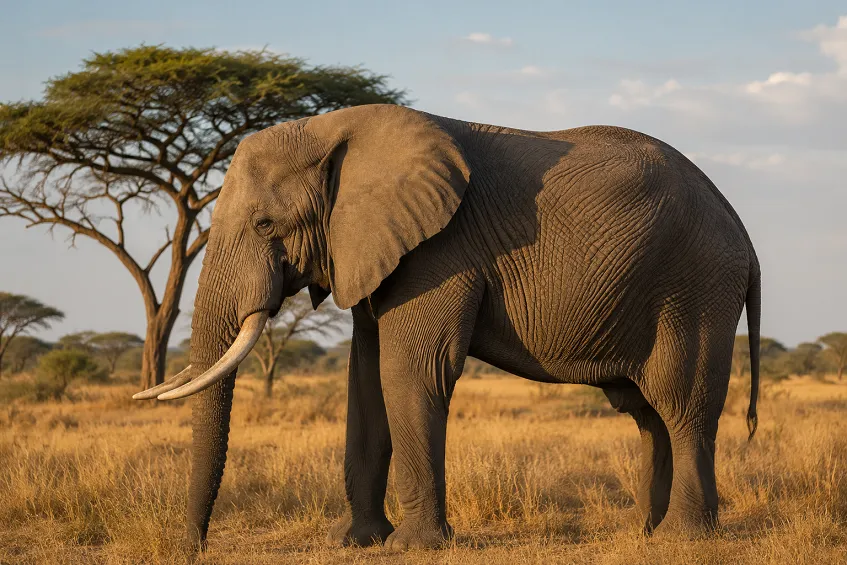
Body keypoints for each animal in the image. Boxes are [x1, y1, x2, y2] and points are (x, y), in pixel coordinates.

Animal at [134, 104, 761, 552]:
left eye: (266, 224)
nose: (191, 548)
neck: (334, 130)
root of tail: (744, 234)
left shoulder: (439, 250)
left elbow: (409, 372)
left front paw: (413, 547)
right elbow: (365, 381)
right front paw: (356, 542)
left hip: (694, 287)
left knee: (681, 402)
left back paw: (684, 537)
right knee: (646, 412)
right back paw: (643, 532)